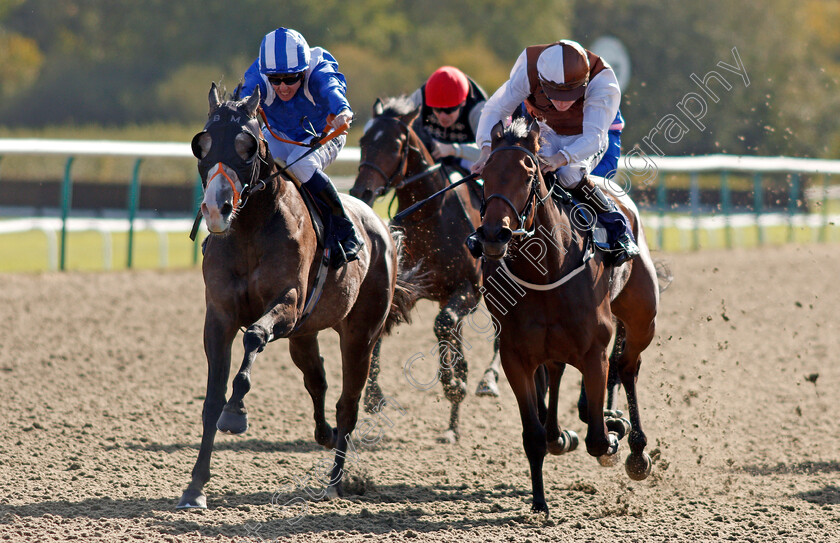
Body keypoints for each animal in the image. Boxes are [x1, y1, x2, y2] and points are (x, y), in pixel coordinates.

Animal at [176, 83, 416, 508]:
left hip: (360, 333)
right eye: (201, 144)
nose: (217, 209)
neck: (250, 230)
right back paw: (324, 435)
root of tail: (382, 228)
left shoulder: (287, 304)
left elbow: (254, 336)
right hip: (305, 335)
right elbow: (211, 400)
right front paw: (196, 487)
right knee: (317, 380)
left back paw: (335, 481)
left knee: (348, 404)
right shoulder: (219, 316)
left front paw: (237, 411)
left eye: (247, 145)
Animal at [352, 99, 502, 446]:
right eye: (364, 141)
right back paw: (452, 426)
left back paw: (486, 382)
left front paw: (454, 384)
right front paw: (374, 396)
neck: (431, 215)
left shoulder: (469, 289)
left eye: (395, 144)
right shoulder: (411, 285)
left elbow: (443, 324)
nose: (361, 192)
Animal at [472, 118, 664, 516]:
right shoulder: (515, 356)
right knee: (559, 371)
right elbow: (532, 435)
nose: (495, 234)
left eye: (529, 175)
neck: (547, 268)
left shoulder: (594, 352)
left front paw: (612, 433)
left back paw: (635, 448)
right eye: (484, 175)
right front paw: (539, 503)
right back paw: (560, 434)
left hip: (643, 320)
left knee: (628, 367)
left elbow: (598, 438)